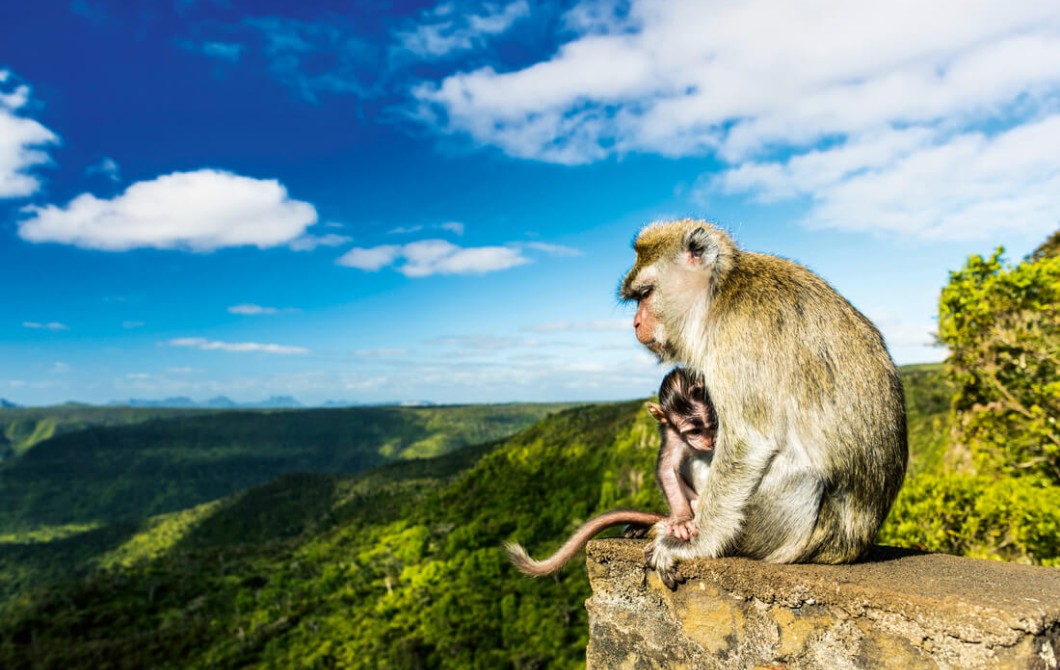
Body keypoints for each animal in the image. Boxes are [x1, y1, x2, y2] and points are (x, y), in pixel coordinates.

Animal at [640, 368, 716, 542]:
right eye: (695, 431)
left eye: (713, 425)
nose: (710, 442)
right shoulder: (672, 435)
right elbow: (668, 470)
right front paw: (682, 520)